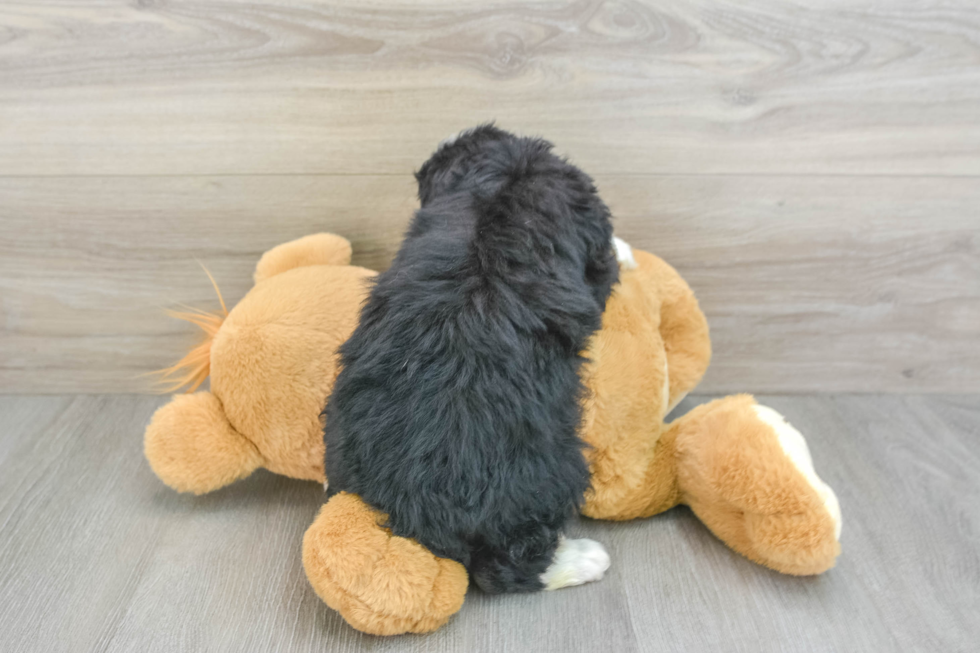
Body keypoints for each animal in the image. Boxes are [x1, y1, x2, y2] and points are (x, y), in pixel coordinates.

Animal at [326, 125, 624, 592]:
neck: (502, 182)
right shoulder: (594, 254)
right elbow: (609, 265)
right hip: (559, 467)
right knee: (509, 567)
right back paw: (582, 559)